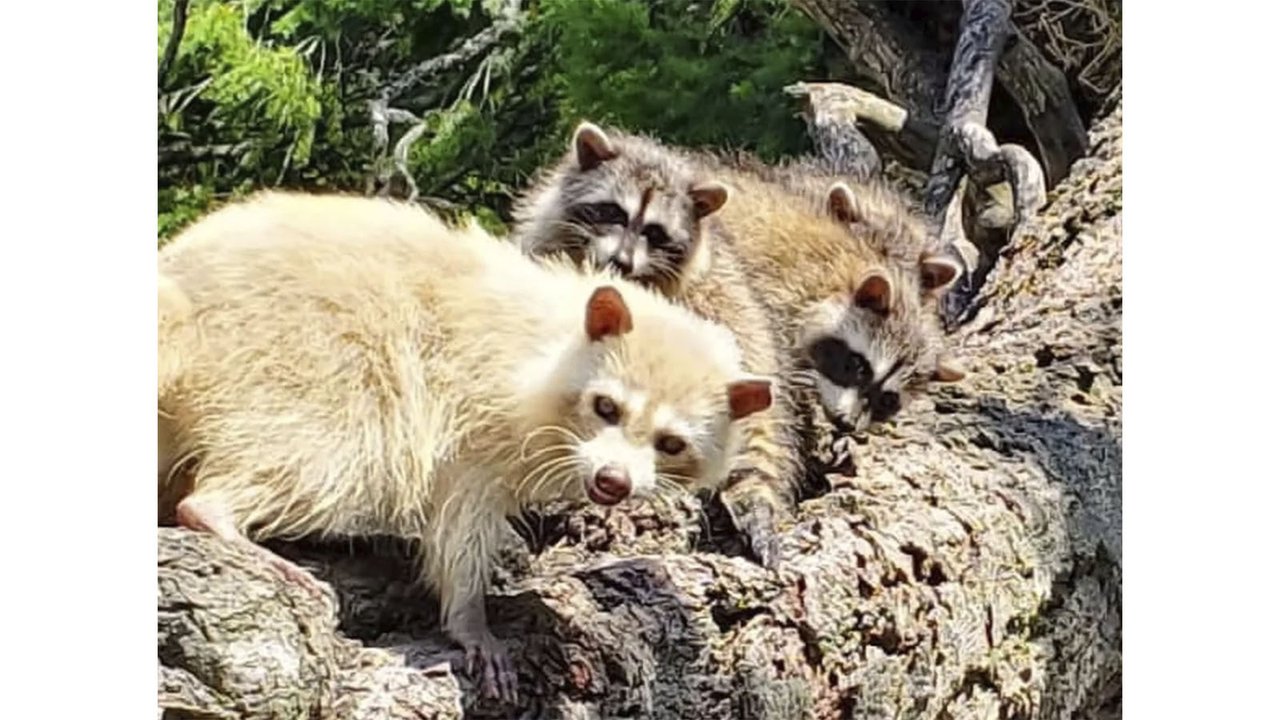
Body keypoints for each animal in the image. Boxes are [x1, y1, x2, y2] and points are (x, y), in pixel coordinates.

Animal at [151, 188, 768, 696]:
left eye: (671, 443)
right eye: (607, 408)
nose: (612, 483)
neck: (556, 335)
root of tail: (184, 297)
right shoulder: (472, 420)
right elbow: (459, 523)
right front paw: (470, 615)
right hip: (301, 359)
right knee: (327, 452)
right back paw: (217, 513)